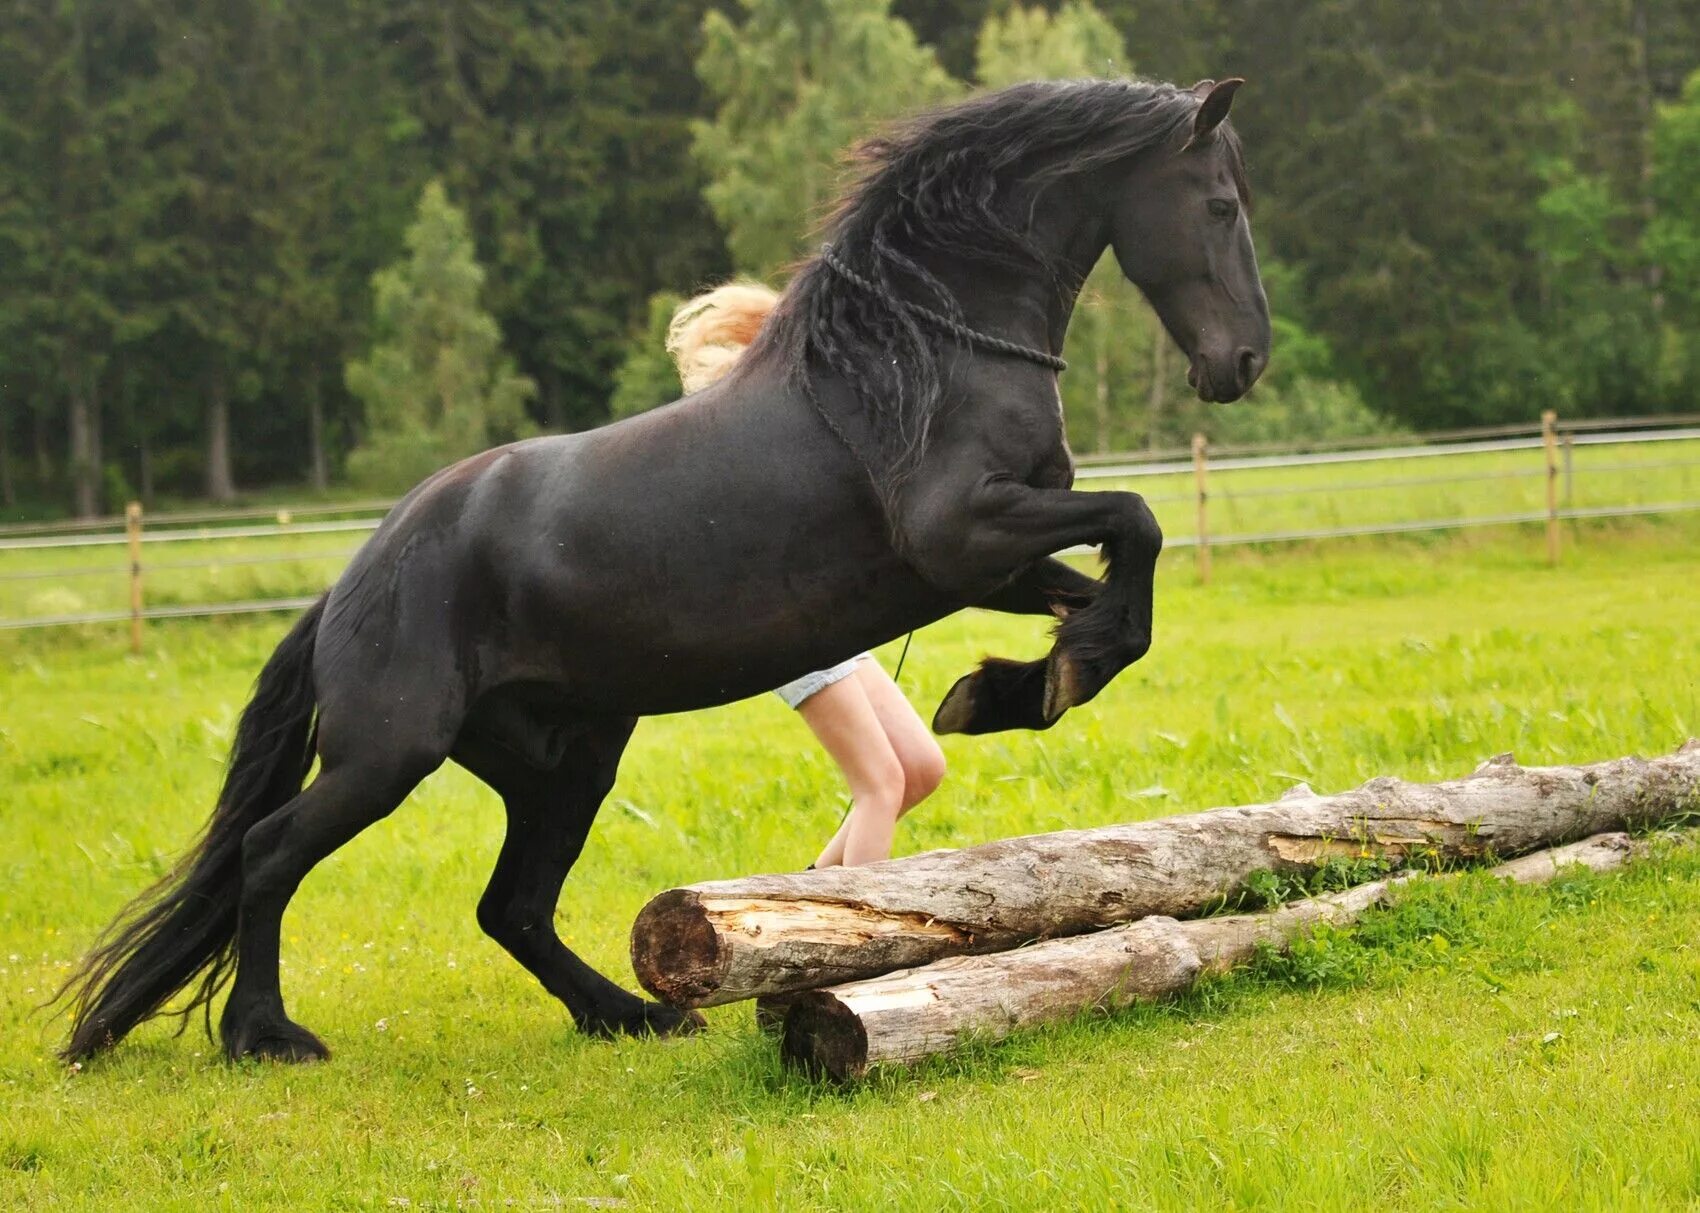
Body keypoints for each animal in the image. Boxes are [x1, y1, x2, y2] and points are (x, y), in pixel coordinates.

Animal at [59, 75, 1271, 1060]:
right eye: (1219, 205)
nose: (1244, 360)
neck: (925, 359)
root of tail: (351, 586)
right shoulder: (961, 535)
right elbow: (1139, 526)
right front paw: (1035, 682)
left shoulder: (986, 562)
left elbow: (1112, 593)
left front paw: (1013, 687)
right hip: (390, 753)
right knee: (271, 854)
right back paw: (265, 1035)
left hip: (565, 757)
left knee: (510, 905)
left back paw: (632, 1014)